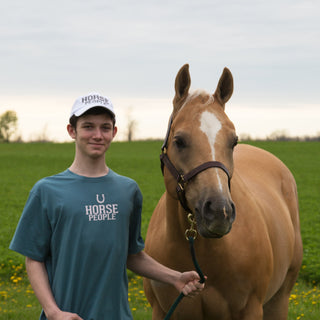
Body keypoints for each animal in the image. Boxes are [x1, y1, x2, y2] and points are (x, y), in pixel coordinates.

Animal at [143, 63, 302, 318]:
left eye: (233, 141)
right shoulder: (162, 311)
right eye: (179, 141)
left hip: (280, 300)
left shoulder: (251, 310)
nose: (219, 212)